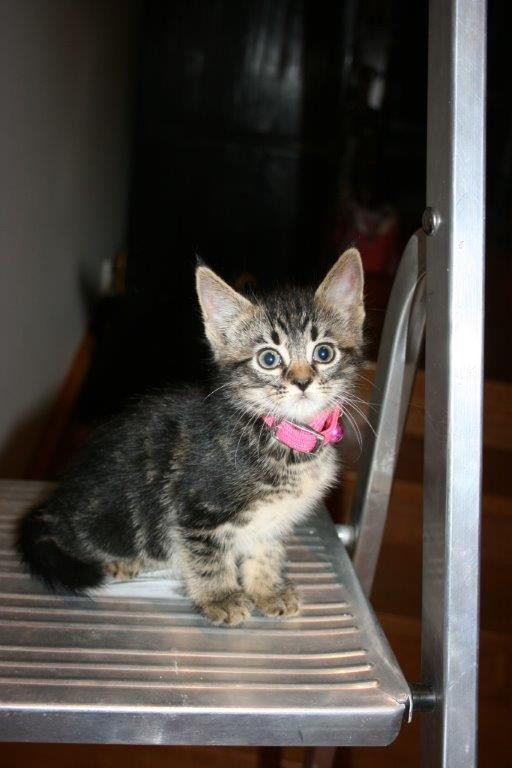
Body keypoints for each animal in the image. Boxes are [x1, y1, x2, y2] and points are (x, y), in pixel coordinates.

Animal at [16, 248, 365, 626]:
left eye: (324, 353)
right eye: (269, 358)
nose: (302, 382)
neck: (282, 439)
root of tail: (57, 503)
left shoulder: (271, 521)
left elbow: (266, 552)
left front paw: (267, 589)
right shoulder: (197, 512)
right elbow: (209, 560)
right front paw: (221, 597)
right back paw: (118, 561)